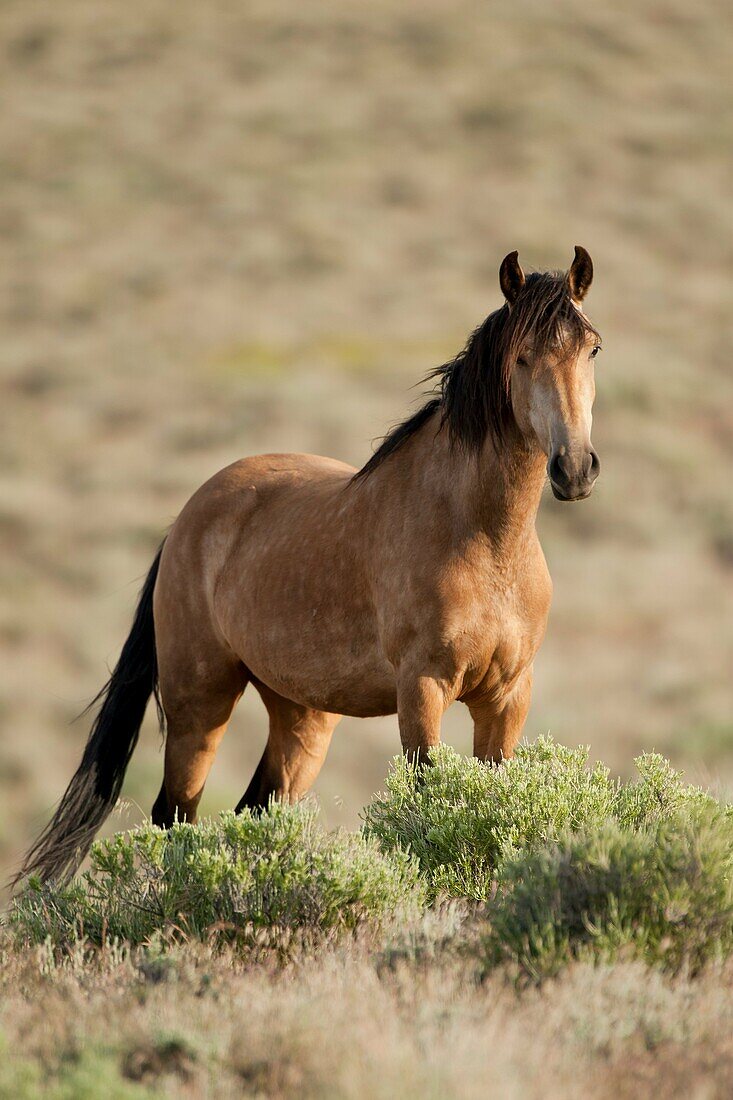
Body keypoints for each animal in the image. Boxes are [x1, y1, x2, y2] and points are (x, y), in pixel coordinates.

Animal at [17, 247, 598, 884]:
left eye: (592, 348)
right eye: (521, 357)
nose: (574, 469)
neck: (485, 541)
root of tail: (185, 521)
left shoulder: (507, 697)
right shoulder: (422, 691)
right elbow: (430, 811)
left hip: (300, 715)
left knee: (253, 810)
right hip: (200, 704)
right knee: (174, 818)